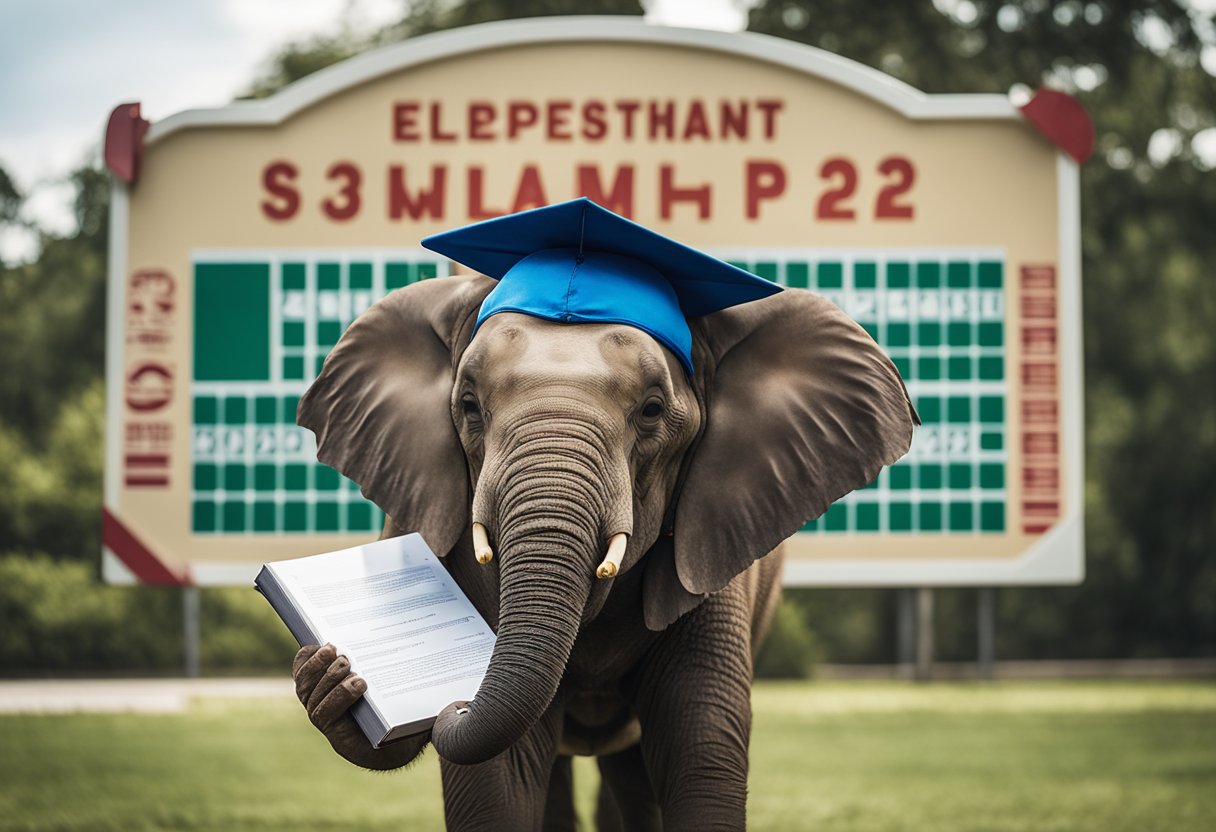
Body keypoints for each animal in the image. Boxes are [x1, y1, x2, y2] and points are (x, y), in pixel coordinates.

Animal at [291, 212, 914, 827]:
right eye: (468, 406)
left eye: (653, 411)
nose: (452, 704)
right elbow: (500, 778)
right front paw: (333, 681)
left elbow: (703, 744)